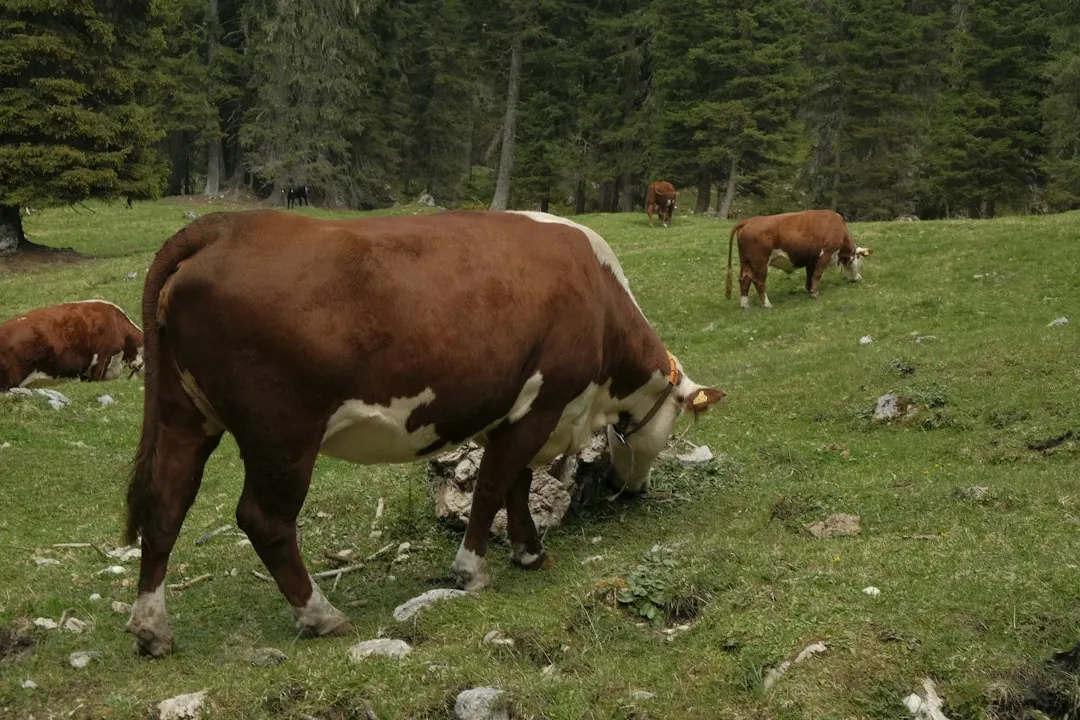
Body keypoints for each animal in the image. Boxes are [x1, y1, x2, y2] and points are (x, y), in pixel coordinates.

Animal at [121, 208, 727, 657]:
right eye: (669, 433)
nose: (634, 489)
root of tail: (225, 226)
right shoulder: (543, 403)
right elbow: (492, 488)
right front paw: (472, 570)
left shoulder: (510, 413)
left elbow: (515, 486)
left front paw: (530, 552)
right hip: (282, 433)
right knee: (263, 520)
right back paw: (320, 614)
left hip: (186, 416)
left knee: (165, 504)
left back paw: (152, 629)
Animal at [724, 209, 872, 308]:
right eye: (857, 262)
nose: (858, 279)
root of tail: (748, 221)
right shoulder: (825, 253)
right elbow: (817, 274)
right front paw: (815, 294)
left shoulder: (811, 259)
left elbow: (810, 275)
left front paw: (809, 289)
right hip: (760, 261)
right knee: (758, 281)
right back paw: (767, 304)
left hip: (745, 261)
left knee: (744, 280)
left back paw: (745, 305)